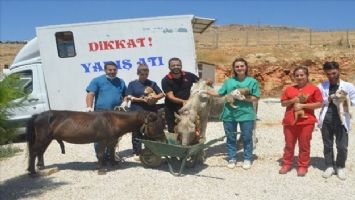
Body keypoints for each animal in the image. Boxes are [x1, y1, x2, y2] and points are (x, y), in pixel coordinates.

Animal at [26, 109, 165, 175]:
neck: (113, 121)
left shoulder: (112, 140)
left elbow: (111, 151)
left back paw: (41, 166)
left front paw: (114, 163)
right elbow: (101, 154)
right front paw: (101, 168)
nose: (163, 140)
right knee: (33, 152)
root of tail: (38, 115)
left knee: (40, 152)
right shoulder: (102, 140)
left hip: (47, 139)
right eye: (157, 125)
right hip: (43, 138)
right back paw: (32, 171)